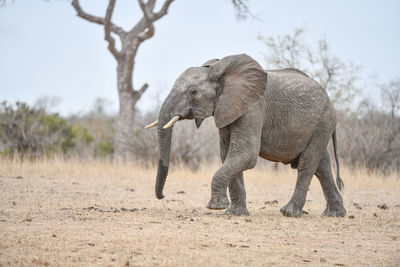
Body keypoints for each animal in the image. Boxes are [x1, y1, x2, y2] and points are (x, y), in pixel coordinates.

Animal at [146, 54, 346, 218]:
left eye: (193, 92)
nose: (162, 196)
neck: (220, 71)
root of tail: (330, 100)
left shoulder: (253, 108)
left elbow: (246, 154)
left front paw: (215, 207)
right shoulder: (227, 108)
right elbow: (228, 154)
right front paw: (234, 213)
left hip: (323, 121)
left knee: (307, 163)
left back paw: (289, 212)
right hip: (320, 125)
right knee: (322, 166)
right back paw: (334, 214)